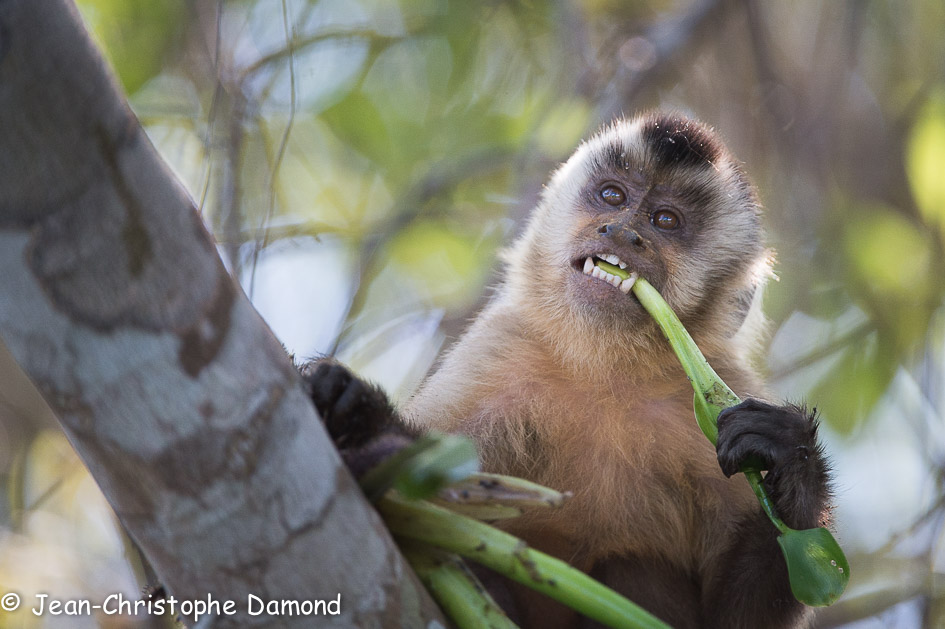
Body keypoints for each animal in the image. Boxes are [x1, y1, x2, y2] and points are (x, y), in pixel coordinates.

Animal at [300, 113, 824, 628]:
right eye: (612, 195)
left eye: (666, 220)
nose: (622, 232)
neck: (607, 372)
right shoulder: (502, 347)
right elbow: (429, 499)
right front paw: (357, 414)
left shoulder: (722, 384)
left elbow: (749, 610)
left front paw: (789, 458)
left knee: (635, 565)